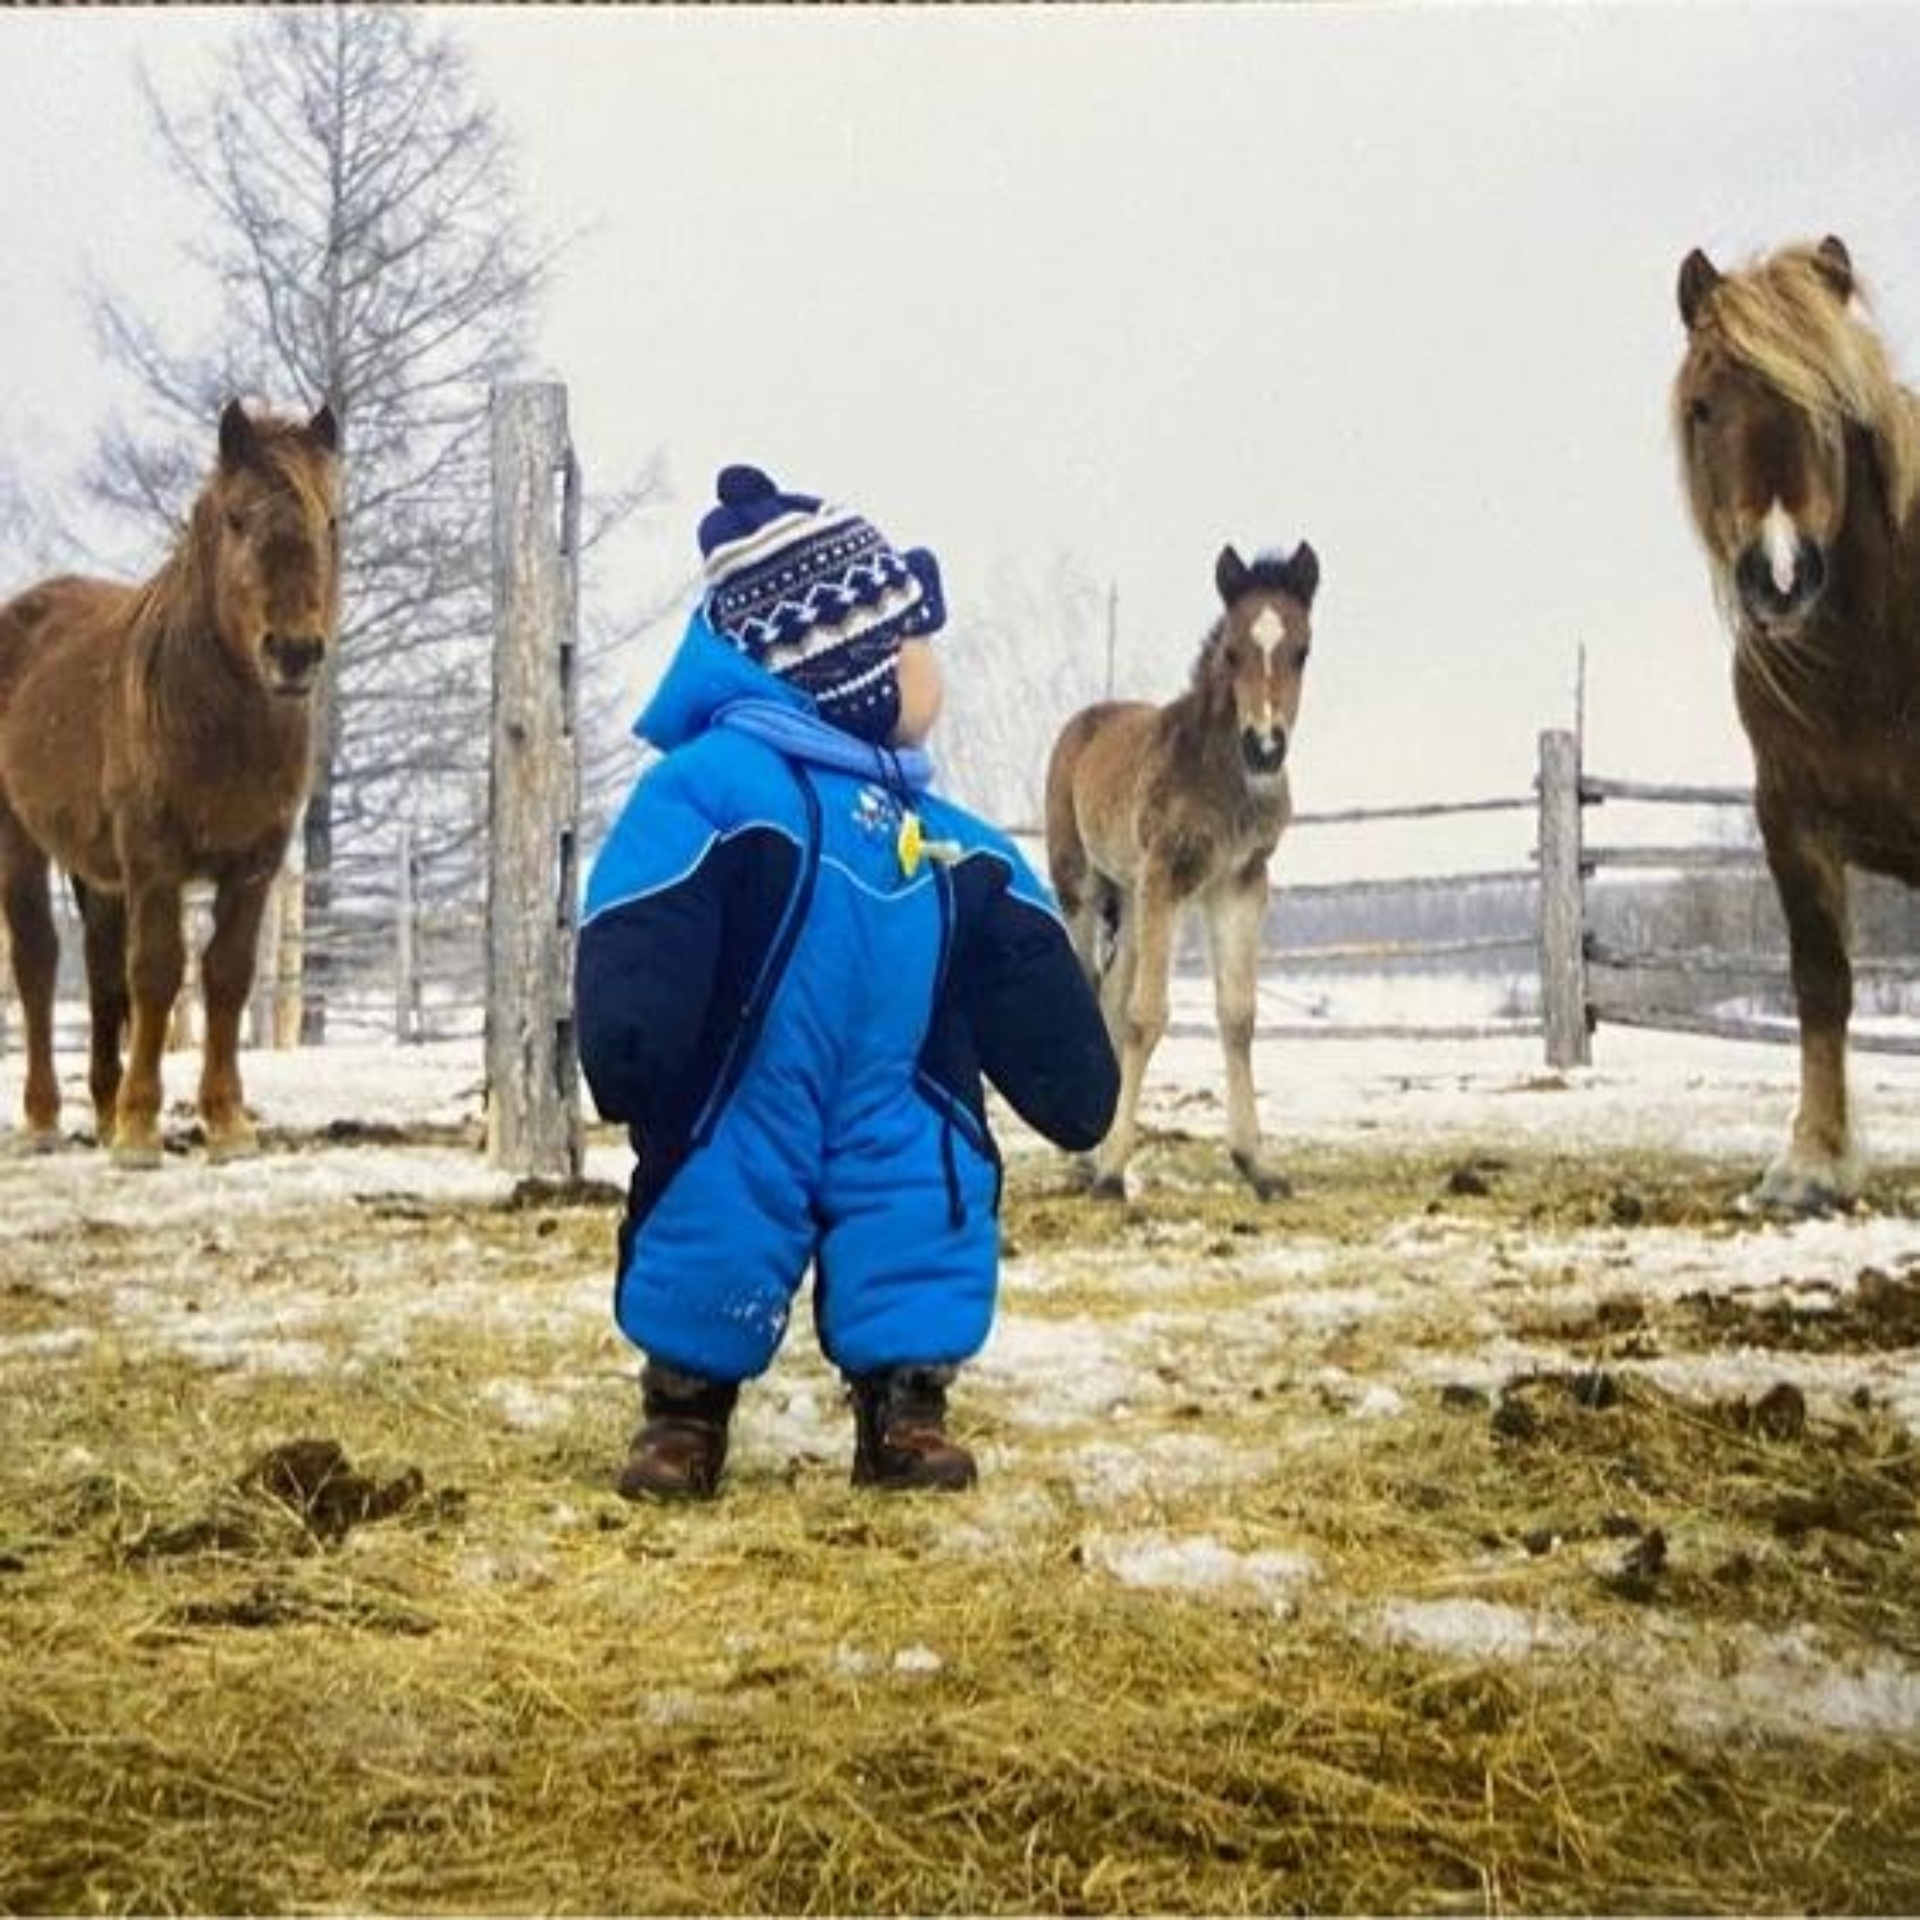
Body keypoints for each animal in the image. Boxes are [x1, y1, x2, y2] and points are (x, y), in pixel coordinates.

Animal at [0, 397, 341, 1159]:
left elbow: (227, 974)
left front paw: (227, 1123)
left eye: (331, 520)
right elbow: (157, 971)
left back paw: (99, 1110)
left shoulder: (256, 862)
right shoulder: (154, 856)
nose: (294, 652)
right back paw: (45, 1118)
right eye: (238, 518)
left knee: (99, 970)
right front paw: (139, 1130)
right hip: (19, 841)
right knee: (39, 964)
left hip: (97, 872)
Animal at [1052, 541, 1320, 1198]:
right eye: (1231, 651)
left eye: (1301, 651)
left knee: (1110, 993)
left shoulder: (1240, 884)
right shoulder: (1165, 877)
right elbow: (1146, 1016)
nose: (1265, 748)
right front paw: (1112, 1173)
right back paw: (1084, 1156)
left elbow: (1238, 1015)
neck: (1221, 775)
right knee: (1091, 986)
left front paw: (1256, 1165)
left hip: (1129, 893)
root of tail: (1086, 722)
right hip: (1084, 885)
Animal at [1674, 232, 1920, 1205]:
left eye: (1828, 409)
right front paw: (1813, 1161)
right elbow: (1822, 981)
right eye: (1704, 406)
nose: (1780, 578)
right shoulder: (1791, 818)